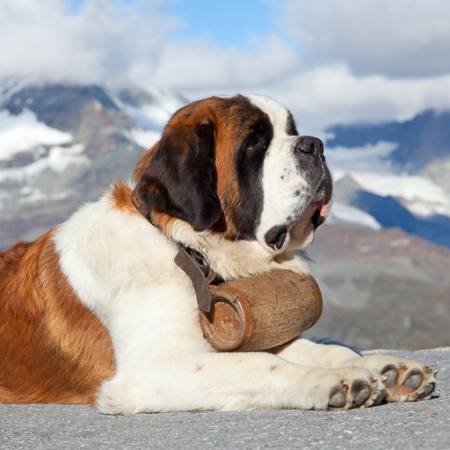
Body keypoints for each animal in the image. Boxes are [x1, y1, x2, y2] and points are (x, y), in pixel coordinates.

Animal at [0, 96, 436, 414]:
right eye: (255, 143)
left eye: (292, 131)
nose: (315, 144)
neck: (188, 250)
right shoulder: (149, 370)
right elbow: (261, 362)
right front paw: (334, 380)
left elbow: (316, 348)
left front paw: (386, 368)